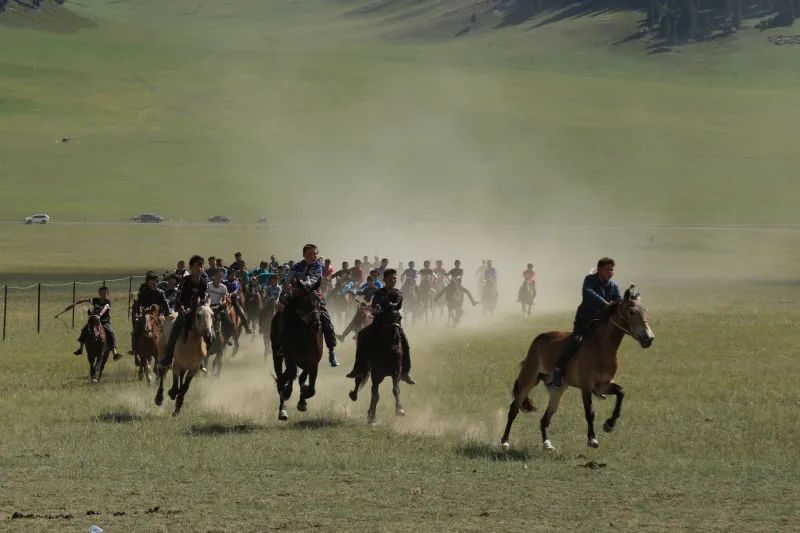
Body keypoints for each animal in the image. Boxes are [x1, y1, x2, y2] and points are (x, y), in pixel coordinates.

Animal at [270, 278, 324, 420]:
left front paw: (303, 400)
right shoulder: (290, 357)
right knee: (281, 373)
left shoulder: (313, 362)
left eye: (318, 299)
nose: (316, 323)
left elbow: (309, 386)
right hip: (276, 353)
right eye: (304, 301)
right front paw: (286, 392)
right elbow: (291, 374)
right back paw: (282, 409)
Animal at [500, 284, 656, 450]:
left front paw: (609, 424)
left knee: (546, 418)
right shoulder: (586, 386)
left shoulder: (603, 385)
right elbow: (590, 412)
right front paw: (592, 439)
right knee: (514, 409)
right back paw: (505, 441)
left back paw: (547, 444)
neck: (602, 348)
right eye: (631, 311)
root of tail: (539, 338)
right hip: (528, 380)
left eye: (645, 311)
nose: (648, 337)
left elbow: (621, 392)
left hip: (557, 390)